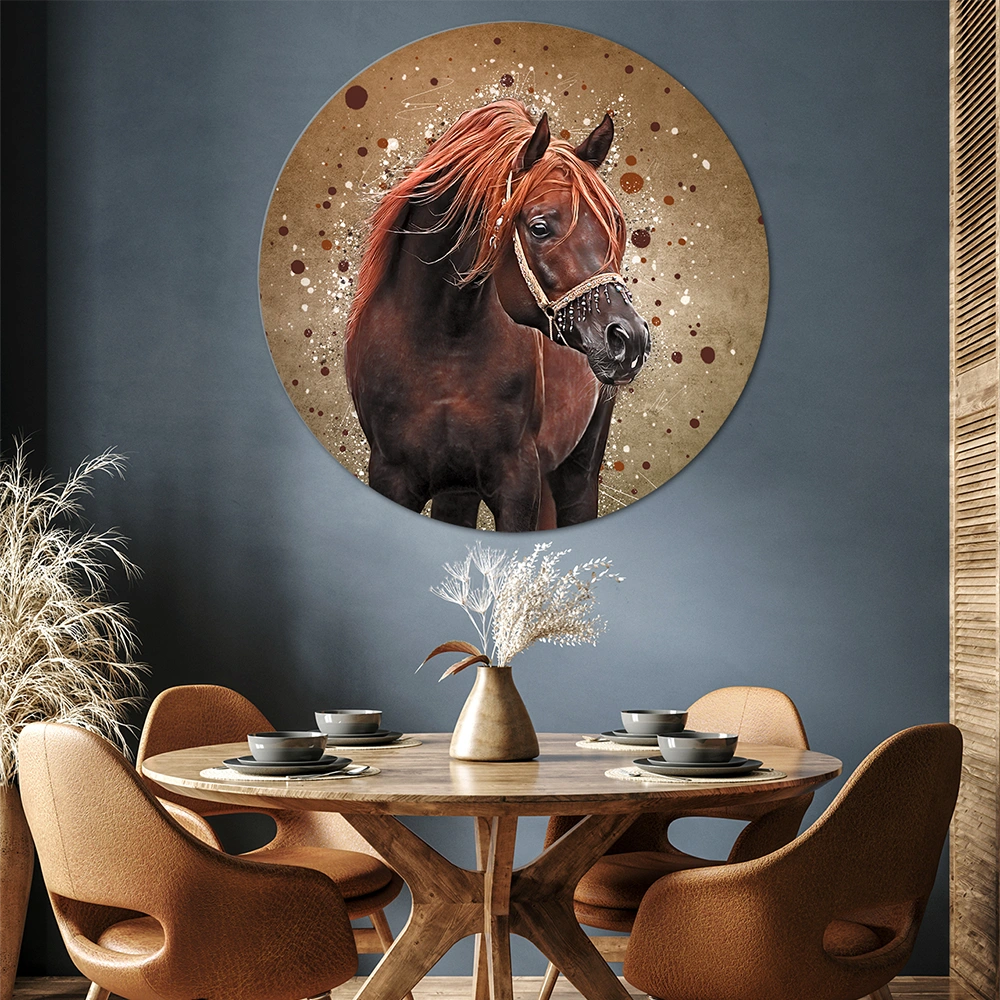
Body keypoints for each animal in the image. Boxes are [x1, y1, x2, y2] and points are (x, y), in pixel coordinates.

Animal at [345, 99, 650, 532]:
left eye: (616, 224)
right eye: (539, 227)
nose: (630, 338)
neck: (444, 348)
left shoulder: (518, 483)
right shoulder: (392, 477)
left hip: (579, 469)